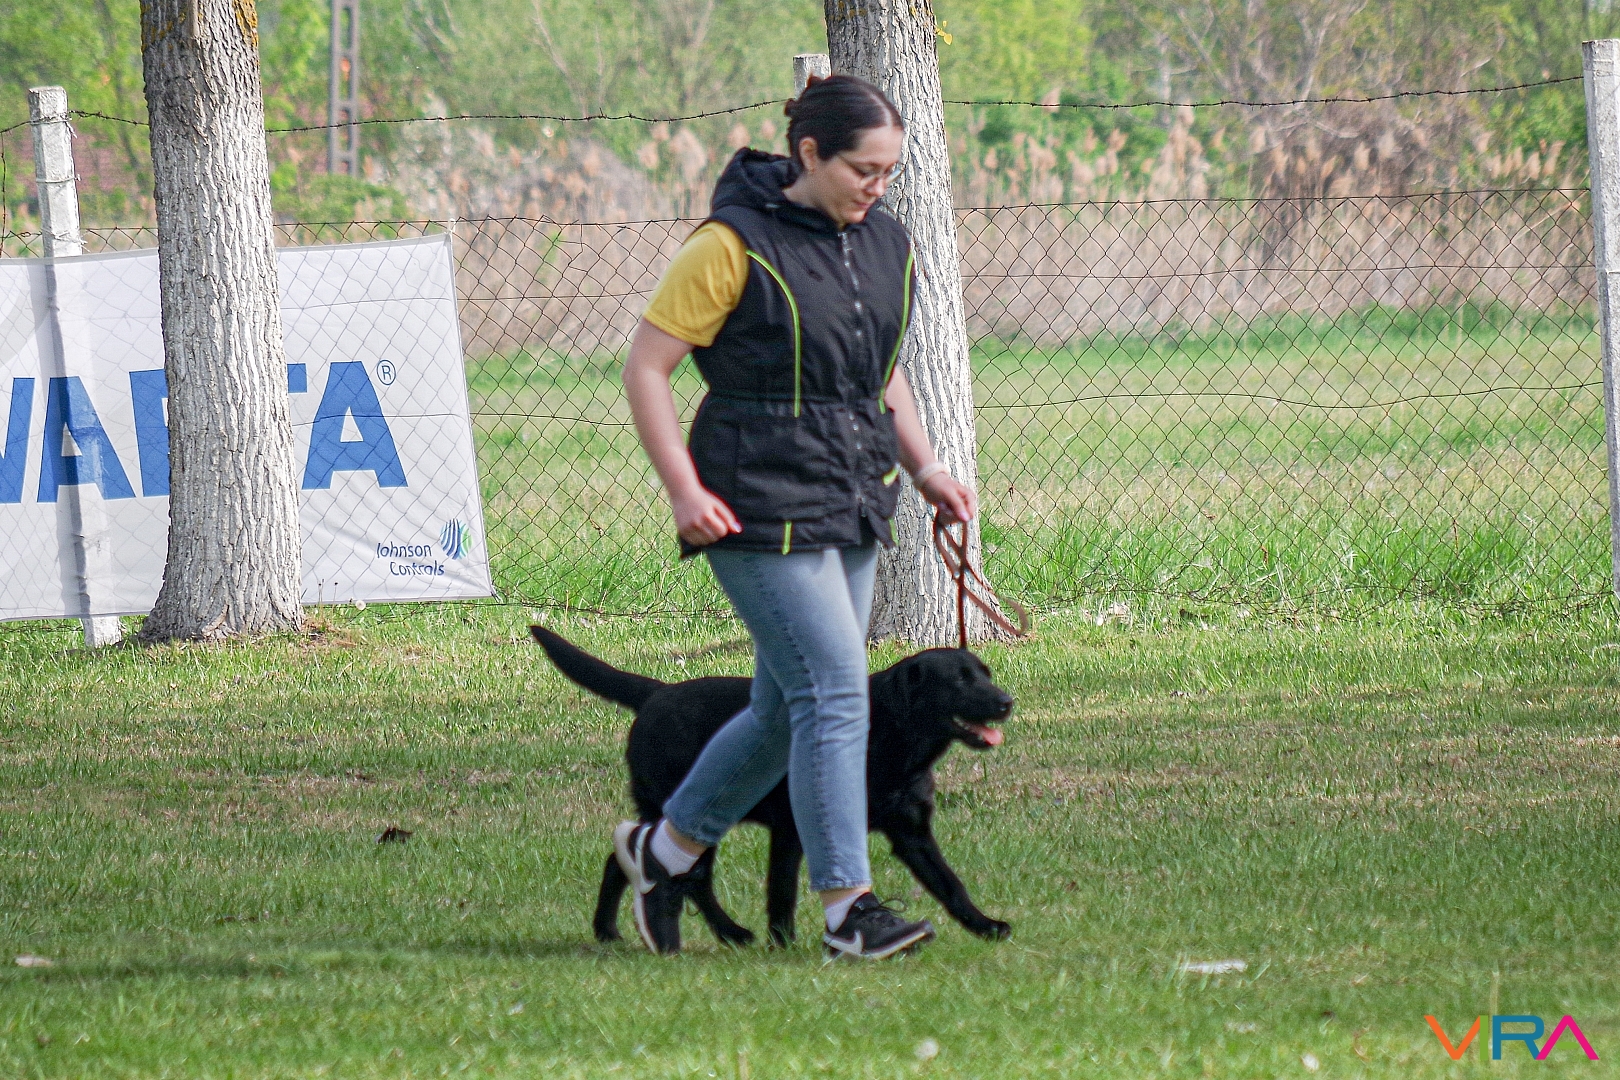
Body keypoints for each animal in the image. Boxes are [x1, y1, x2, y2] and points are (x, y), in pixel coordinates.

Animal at [530, 625, 1015, 947]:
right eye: (959, 681)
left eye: (985, 673)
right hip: (693, 807)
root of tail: (656, 693)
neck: (893, 740)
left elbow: (950, 884)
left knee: (656, 868)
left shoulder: (912, 833)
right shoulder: (792, 830)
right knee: (661, 866)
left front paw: (984, 925)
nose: (1007, 702)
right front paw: (784, 944)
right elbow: (783, 891)